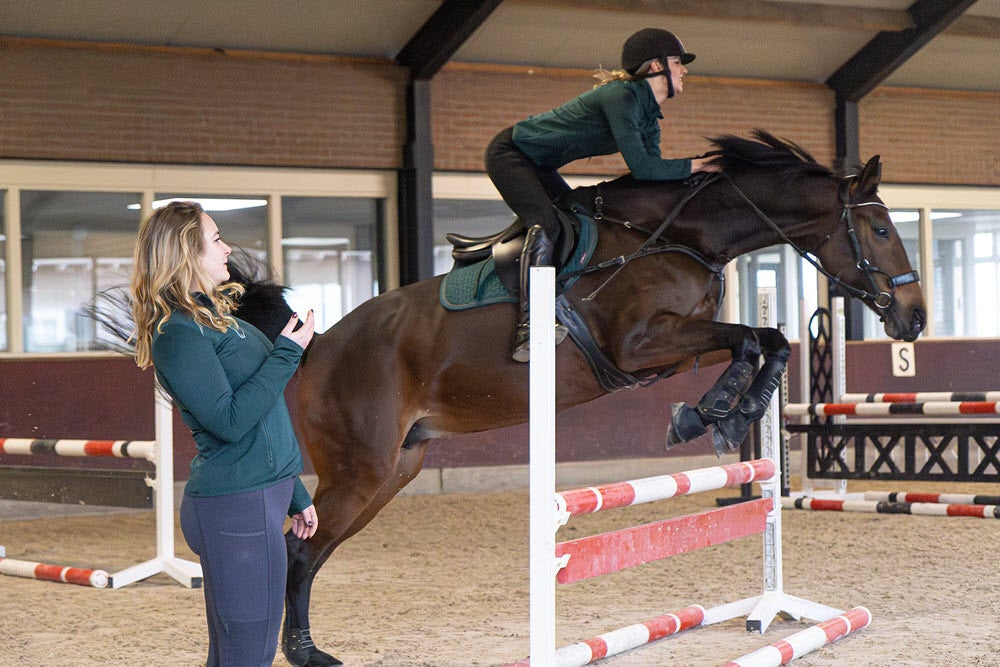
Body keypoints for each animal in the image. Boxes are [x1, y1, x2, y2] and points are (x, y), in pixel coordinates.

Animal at [232, 131, 925, 665]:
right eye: (880, 228)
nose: (915, 319)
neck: (681, 236)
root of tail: (317, 345)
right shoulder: (640, 344)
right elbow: (753, 339)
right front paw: (708, 415)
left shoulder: (678, 348)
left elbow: (765, 341)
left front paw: (725, 414)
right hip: (362, 468)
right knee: (300, 548)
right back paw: (300, 651)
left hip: (395, 470)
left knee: (313, 552)